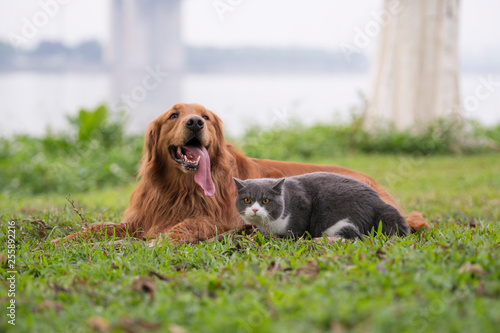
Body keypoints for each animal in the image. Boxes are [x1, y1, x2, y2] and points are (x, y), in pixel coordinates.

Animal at [232, 171, 408, 239]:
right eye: (247, 200)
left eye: (265, 201)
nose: (255, 209)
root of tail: (379, 202)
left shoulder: (303, 205)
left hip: (337, 221)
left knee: (354, 235)